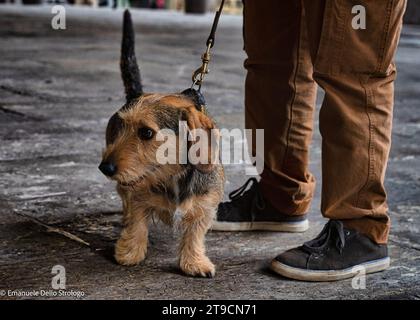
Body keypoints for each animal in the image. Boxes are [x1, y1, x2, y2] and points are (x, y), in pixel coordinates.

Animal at [99, 8, 223, 276]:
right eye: (121, 127)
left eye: (146, 133)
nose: (105, 168)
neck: (172, 175)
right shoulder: (137, 196)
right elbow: (137, 223)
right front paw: (130, 252)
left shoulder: (205, 206)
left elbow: (194, 234)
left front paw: (194, 262)